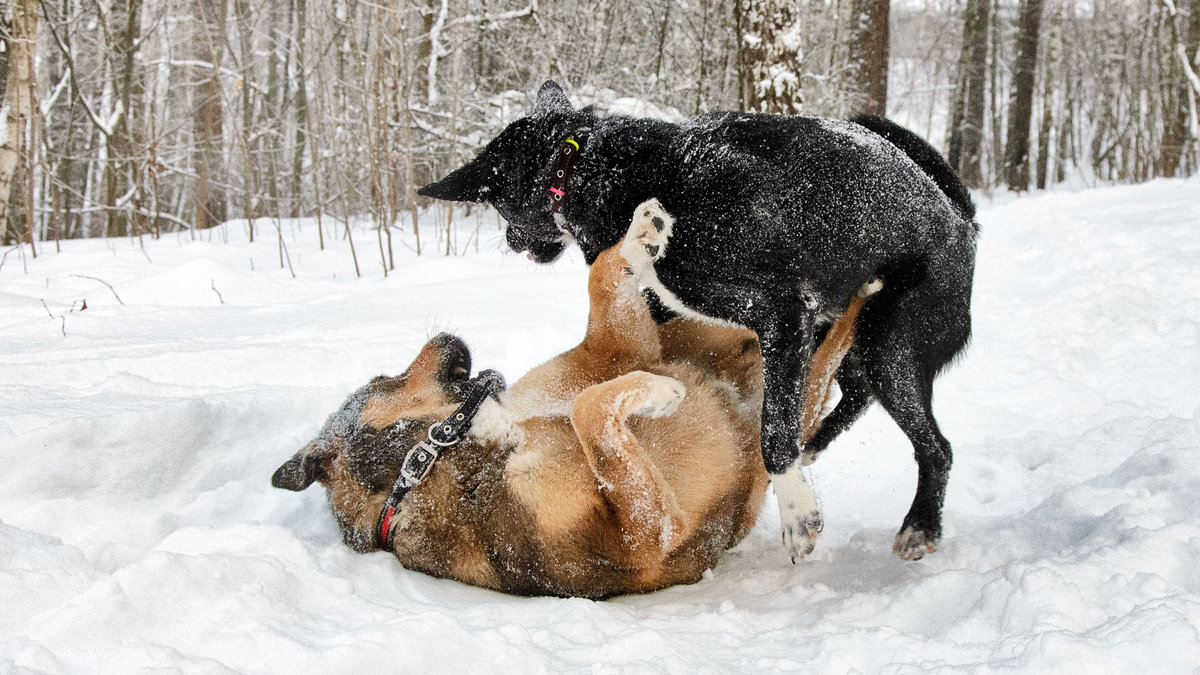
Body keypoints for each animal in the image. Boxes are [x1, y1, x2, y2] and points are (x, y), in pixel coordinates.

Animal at [272, 213, 873, 593]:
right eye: (384, 376)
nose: (444, 336)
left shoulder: (614, 351)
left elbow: (602, 275)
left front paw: (638, 235)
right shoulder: (642, 537)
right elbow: (590, 410)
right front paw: (660, 394)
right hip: (793, 403)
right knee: (827, 355)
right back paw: (861, 293)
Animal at [420, 81, 974, 559]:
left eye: (498, 208)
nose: (512, 242)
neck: (587, 166)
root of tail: (961, 218)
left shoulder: (782, 314)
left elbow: (773, 433)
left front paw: (797, 512)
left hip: (891, 347)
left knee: (936, 446)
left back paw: (920, 525)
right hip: (857, 339)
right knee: (856, 393)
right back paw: (815, 447)